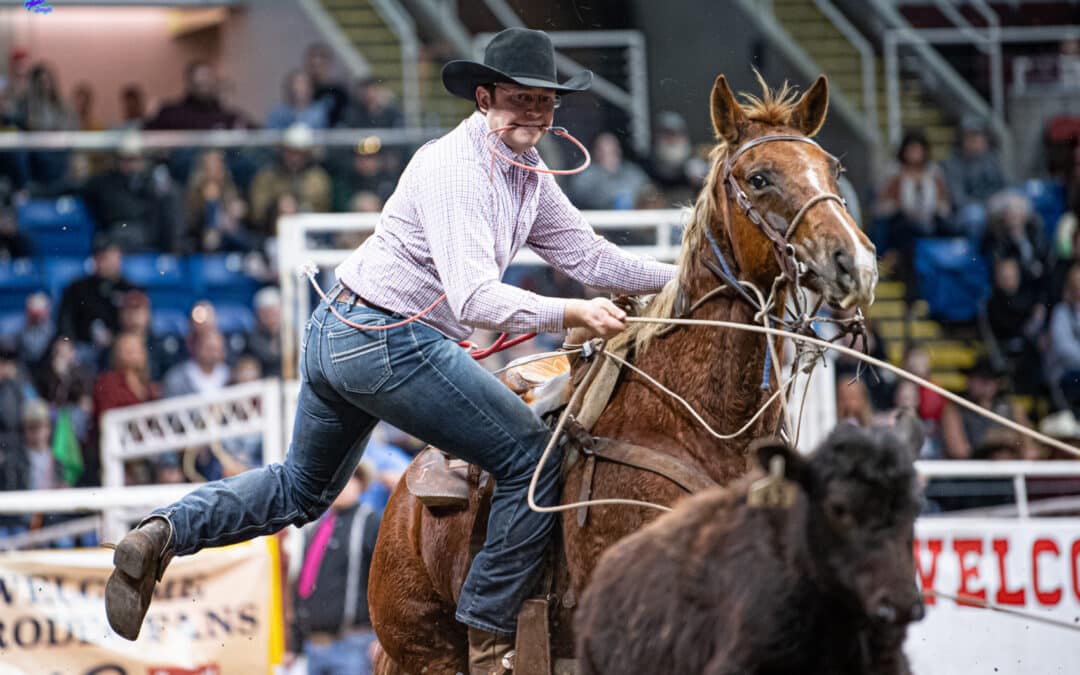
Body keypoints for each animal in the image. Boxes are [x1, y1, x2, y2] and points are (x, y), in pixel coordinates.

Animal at [369, 75, 876, 673]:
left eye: (833, 170)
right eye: (760, 178)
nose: (856, 263)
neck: (692, 426)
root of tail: (406, 490)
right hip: (424, 648)